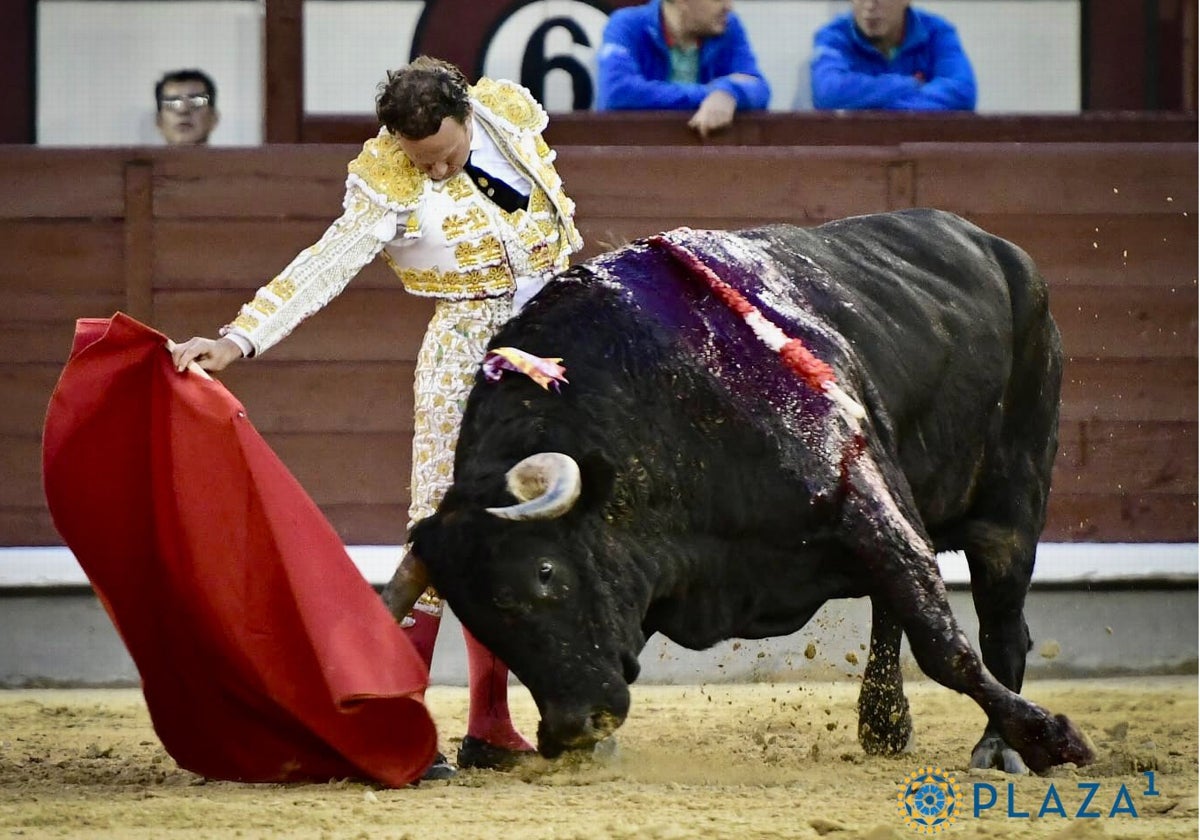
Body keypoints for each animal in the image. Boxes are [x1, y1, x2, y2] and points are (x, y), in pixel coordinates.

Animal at [400, 206, 1099, 772]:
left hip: (1014, 508)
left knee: (1000, 626)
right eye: (476, 616)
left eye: (545, 572)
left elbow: (943, 645)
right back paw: (883, 725)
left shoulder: (859, 498)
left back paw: (997, 748)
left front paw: (1056, 738)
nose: (573, 727)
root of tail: (997, 247)